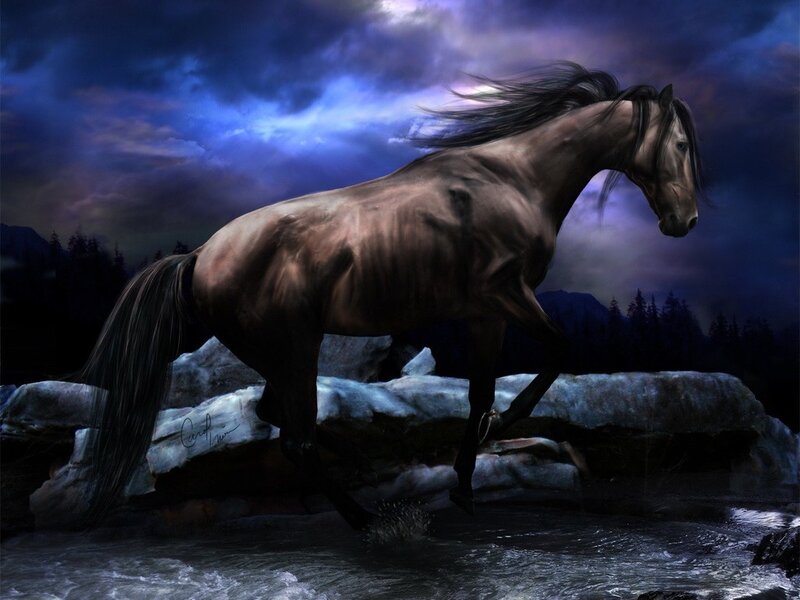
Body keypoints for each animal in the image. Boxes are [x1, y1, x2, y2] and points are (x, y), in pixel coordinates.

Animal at [81, 63, 703, 530]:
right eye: (678, 144)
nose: (686, 222)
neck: (515, 181)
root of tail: (201, 255)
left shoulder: (485, 314)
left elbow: (479, 394)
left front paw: (464, 487)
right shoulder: (507, 294)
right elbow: (557, 351)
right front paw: (504, 425)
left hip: (277, 355)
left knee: (278, 420)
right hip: (293, 349)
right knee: (297, 439)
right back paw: (367, 520)